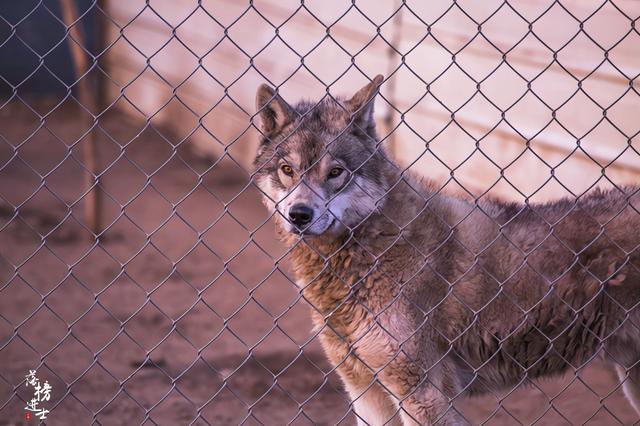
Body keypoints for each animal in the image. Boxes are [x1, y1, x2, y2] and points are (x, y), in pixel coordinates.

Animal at [251, 75, 640, 424]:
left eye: (335, 172)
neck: (370, 250)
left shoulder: (422, 396)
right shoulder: (366, 393)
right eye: (287, 170)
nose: (299, 215)